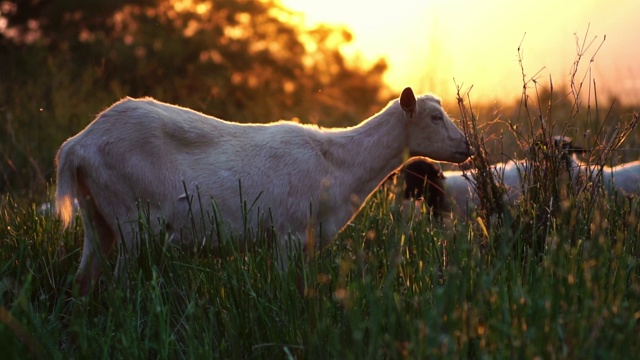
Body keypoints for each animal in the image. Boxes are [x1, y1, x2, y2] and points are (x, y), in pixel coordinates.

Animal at [57, 87, 472, 296]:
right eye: (435, 117)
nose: (466, 147)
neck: (339, 165)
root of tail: (78, 145)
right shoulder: (288, 233)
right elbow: (286, 287)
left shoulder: (309, 239)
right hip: (135, 220)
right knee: (120, 283)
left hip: (98, 214)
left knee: (83, 280)